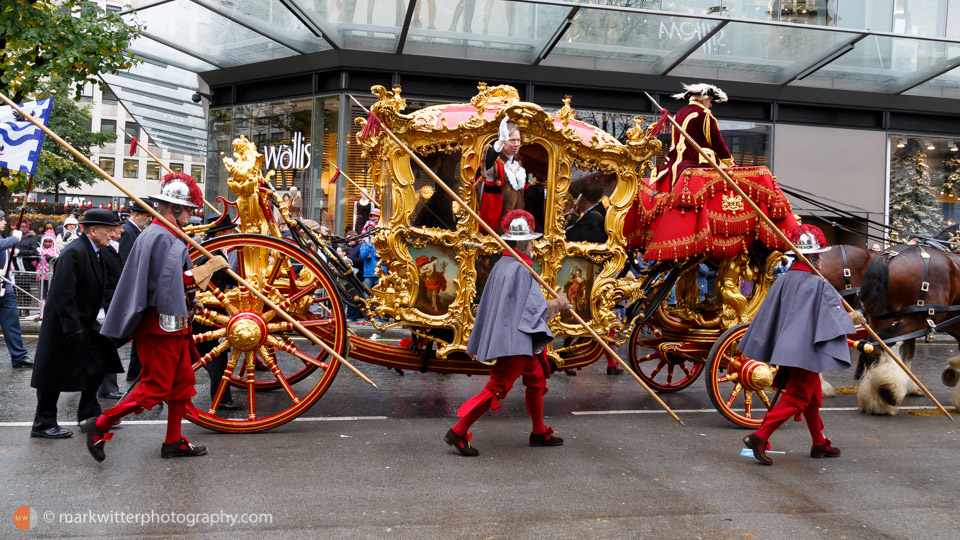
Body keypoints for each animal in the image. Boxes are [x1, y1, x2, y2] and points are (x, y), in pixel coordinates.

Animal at [860, 247, 960, 412]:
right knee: (886, 340)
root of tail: (888, 258)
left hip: (882, 318)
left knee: (871, 346)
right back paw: (888, 390)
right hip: (917, 320)